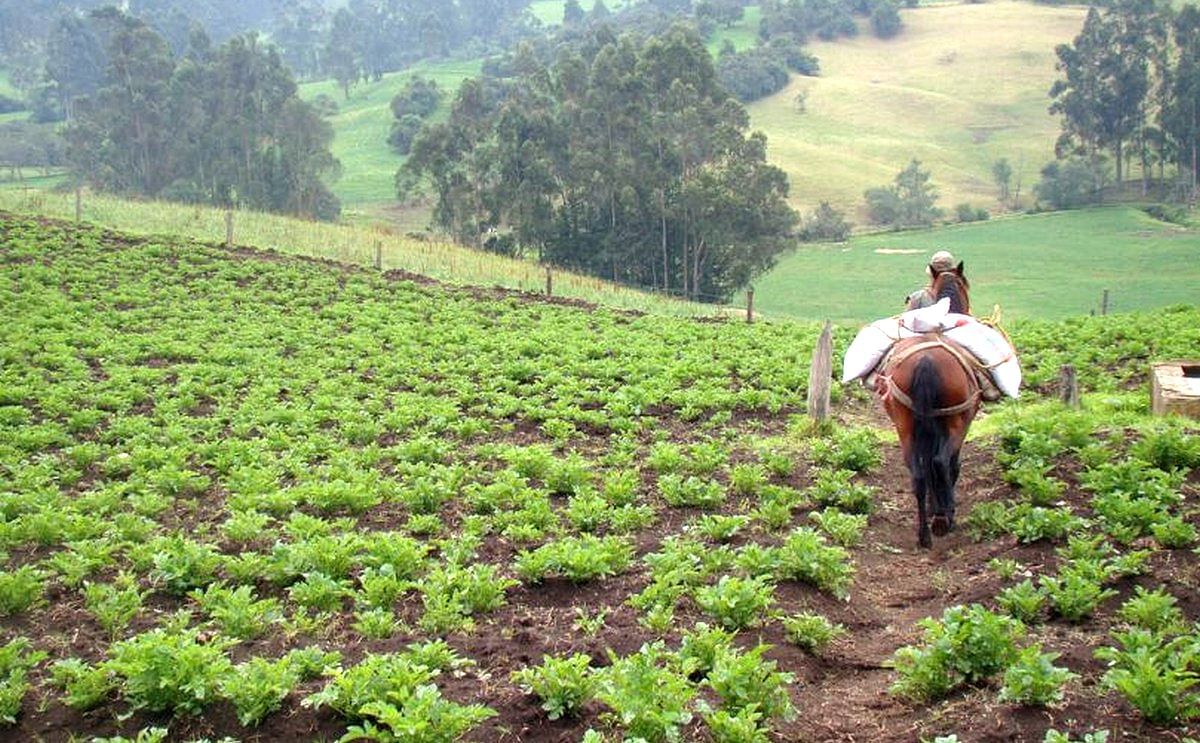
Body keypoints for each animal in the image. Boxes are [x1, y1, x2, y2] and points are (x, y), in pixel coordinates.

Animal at [878, 267, 979, 547]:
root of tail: (925, 360)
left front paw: (935, 507)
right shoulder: (964, 423)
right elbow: (953, 465)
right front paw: (943, 509)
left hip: (905, 425)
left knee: (919, 475)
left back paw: (924, 534)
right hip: (954, 421)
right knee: (940, 462)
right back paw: (945, 518)